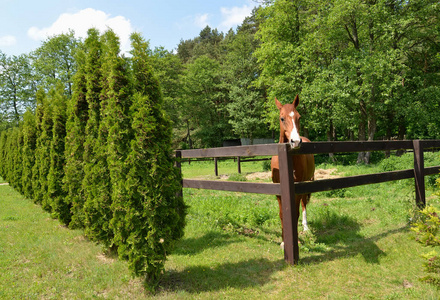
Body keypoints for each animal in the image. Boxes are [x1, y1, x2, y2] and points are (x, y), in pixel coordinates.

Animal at [270, 95, 314, 247]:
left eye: (299, 117)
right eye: (282, 118)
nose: (295, 142)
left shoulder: (296, 190)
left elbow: (295, 213)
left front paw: (296, 241)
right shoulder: (278, 192)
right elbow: (282, 215)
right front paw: (284, 242)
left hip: (306, 184)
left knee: (304, 205)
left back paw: (305, 227)